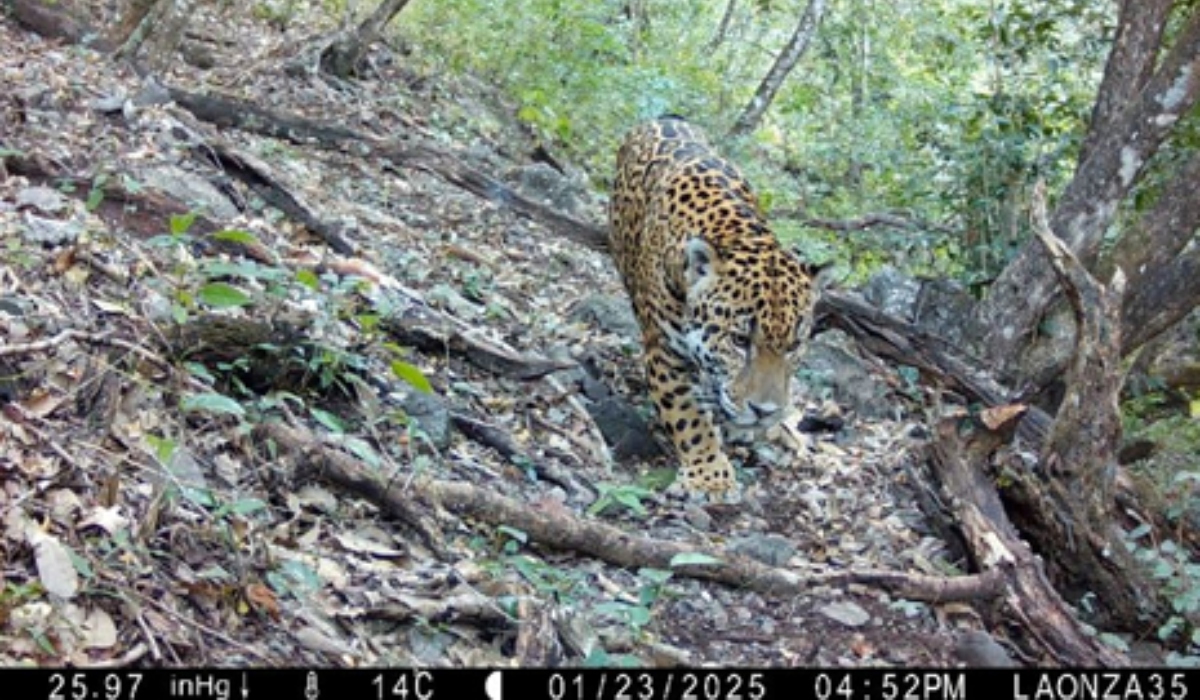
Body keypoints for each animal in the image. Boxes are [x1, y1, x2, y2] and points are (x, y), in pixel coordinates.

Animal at [608, 115, 817, 497]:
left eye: (794, 346)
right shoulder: (665, 352)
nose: (765, 411)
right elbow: (688, 417)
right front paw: (710, 477)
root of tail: (664, 118)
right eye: (739, 341)